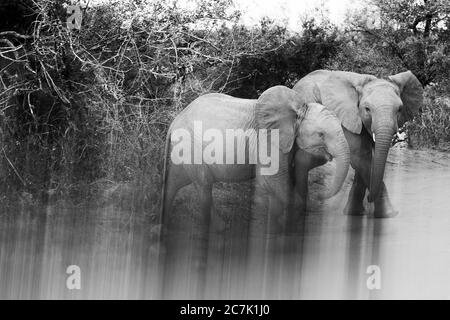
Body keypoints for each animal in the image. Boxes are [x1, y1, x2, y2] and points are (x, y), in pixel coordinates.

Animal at [160, 86, 350, 234]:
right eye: (321, 134)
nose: (320, 196)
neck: (298, 110)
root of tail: (174, 121)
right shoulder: (267, 139)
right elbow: (273, 179)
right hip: (191, 147)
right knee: (203, 184)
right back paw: (218, 228)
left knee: (176, 181)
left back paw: (166, 224)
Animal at [294, 69, 424, 218]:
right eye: (367, 109)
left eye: (400, 109)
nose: (369, 198)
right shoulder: (344, 117)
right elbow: (360, 157)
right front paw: (387, 214)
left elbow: (367, 157)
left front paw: (356, 213)